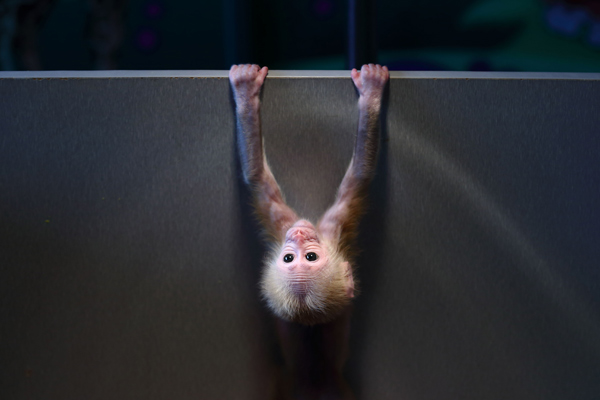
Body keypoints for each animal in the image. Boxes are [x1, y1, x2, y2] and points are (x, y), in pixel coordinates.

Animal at [230, 63, 390, 324]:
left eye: (310, 257)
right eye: (289, 258)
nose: (299, 234)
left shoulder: (325, 228)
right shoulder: (296, 225)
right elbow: (361, 175)